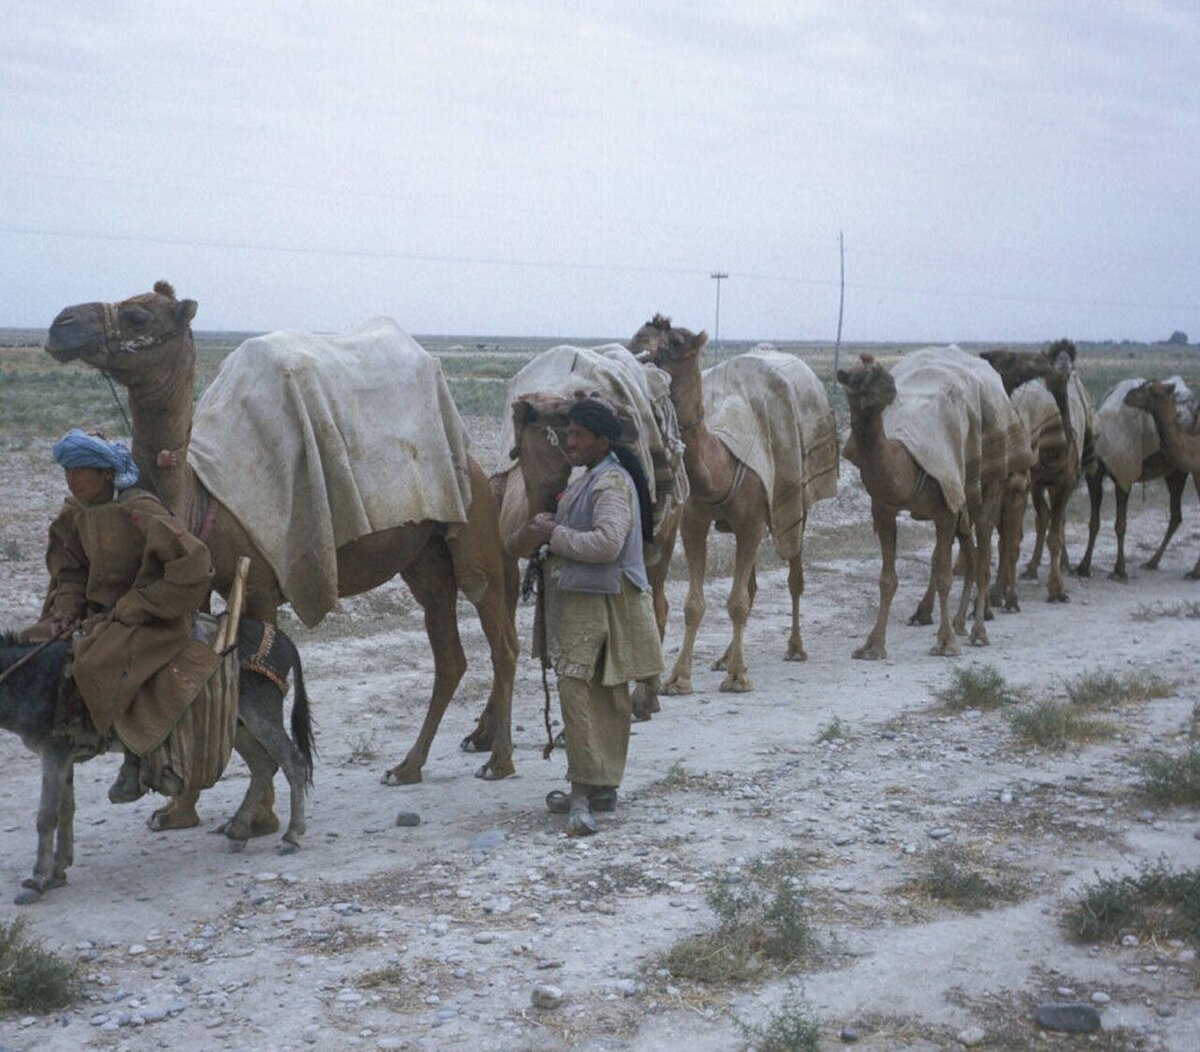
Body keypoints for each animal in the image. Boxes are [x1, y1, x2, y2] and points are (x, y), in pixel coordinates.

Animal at [45, 280, 520, 839]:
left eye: (138, 316)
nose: (61, 323)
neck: (199, 496)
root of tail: (477, 463)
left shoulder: (262, 585)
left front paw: (261, 817)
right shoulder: (197, 583)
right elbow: (189, 678)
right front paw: (177, 811)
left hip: (472, 525)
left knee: (500, 635)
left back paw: (498, 761)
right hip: (423, 560)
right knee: (449, 654)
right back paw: (407, 766)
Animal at [628, 311, 835, 690]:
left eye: (676, 340)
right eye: (640, 332)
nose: (638, 341)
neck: (719, 465)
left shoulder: (751, 523)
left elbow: (737, 601)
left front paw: (737, 677)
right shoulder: (694, 523)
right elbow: (695, 604)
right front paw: (678, 677)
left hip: (797, 503)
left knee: (794, 578)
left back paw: (794, 647)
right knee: (751, 586)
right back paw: (724, 657)